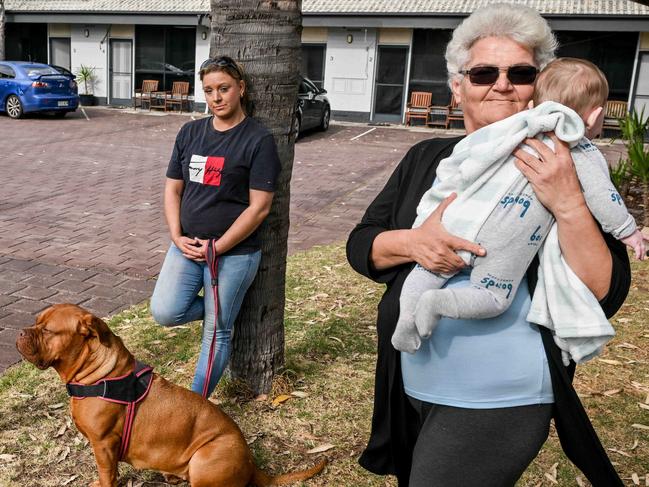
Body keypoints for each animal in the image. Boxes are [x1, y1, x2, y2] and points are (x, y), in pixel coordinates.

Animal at [15, 304, 326, 486]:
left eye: (47, 330)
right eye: (36, 321)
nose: (19, 332)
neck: (99, 372)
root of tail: (252, 463)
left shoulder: (103, 444)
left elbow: (106, 474)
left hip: (204, 459)